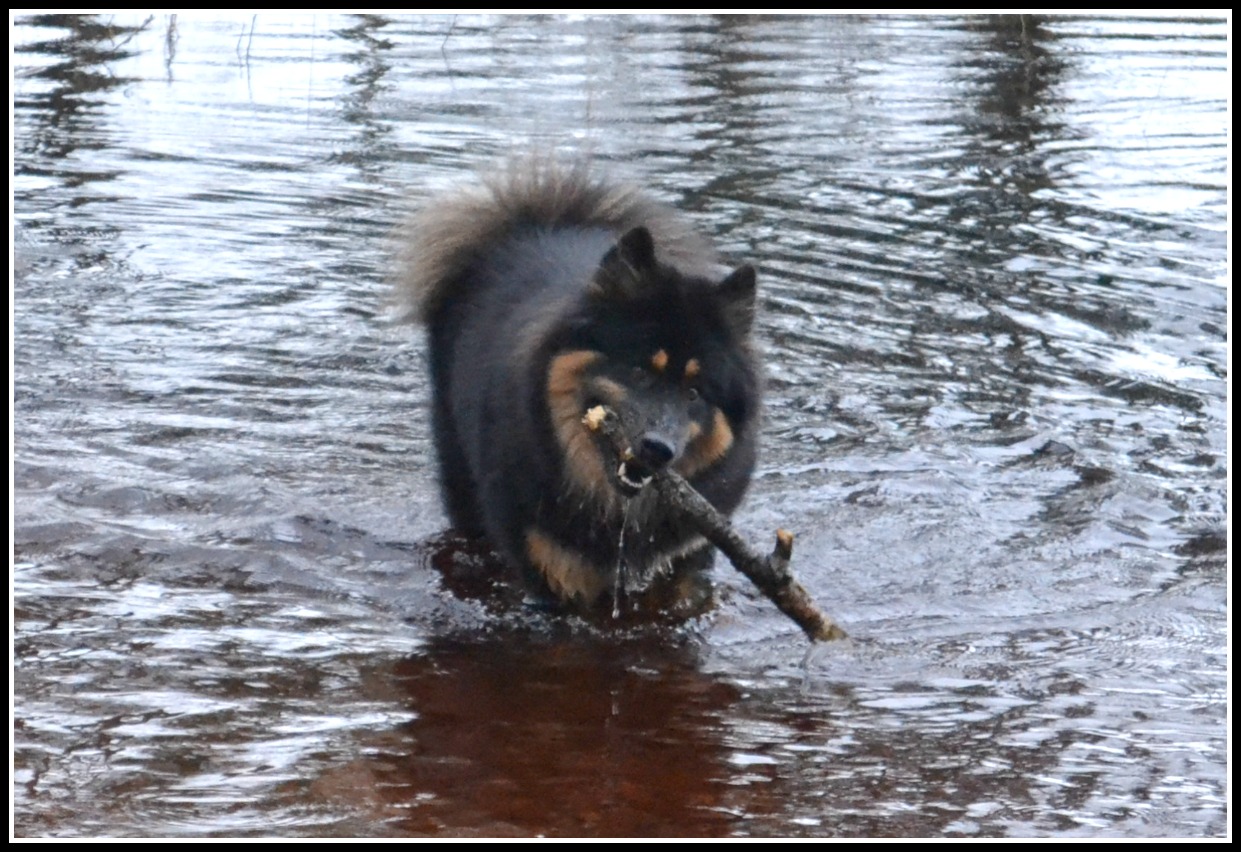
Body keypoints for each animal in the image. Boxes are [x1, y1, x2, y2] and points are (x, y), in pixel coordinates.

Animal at [397, 158, 760, 616]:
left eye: (694, 393)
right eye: (640, 371)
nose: (658, 449)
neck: (619, 511)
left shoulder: (686, 557)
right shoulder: (552, 571)